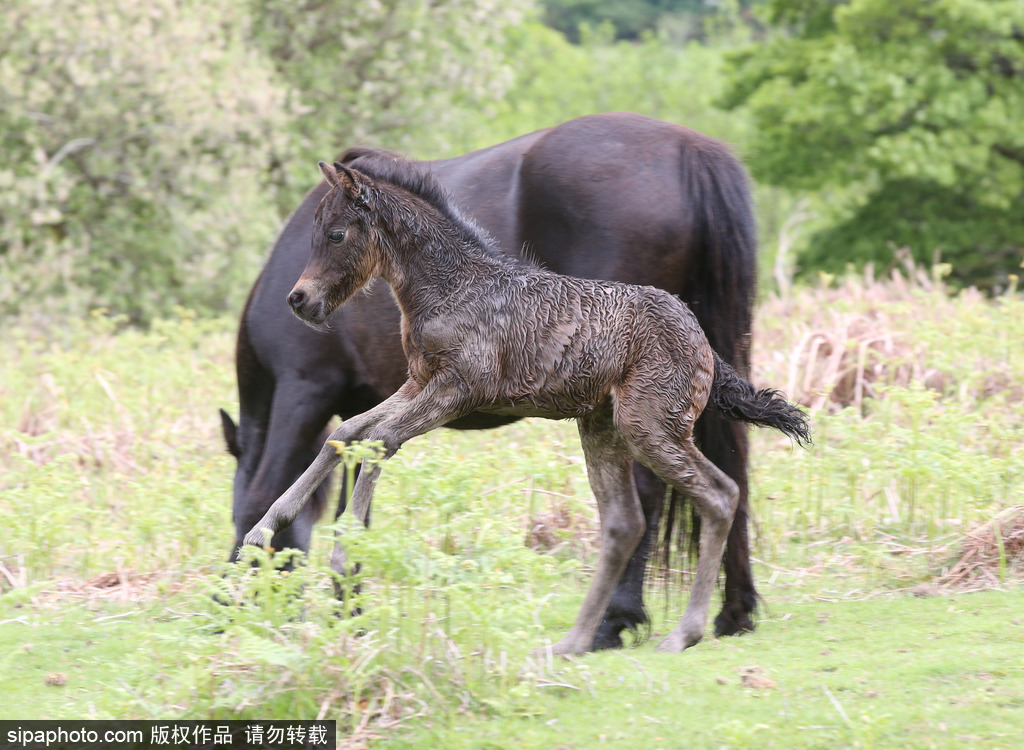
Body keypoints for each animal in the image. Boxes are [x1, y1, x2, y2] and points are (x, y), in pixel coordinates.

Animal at [218, 111, 761, 651]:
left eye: (335, 234)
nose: (301, 301)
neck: (452, 286)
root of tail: (698, 337)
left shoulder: (449, 389)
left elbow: (378, 440)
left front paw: (330, 558)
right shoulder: (415, 382)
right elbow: (349, 436)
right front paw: (274, 533)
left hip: (646, 427)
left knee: (714, 495)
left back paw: (664, 629)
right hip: (610, 423)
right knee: (657, 506)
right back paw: (676, 623)